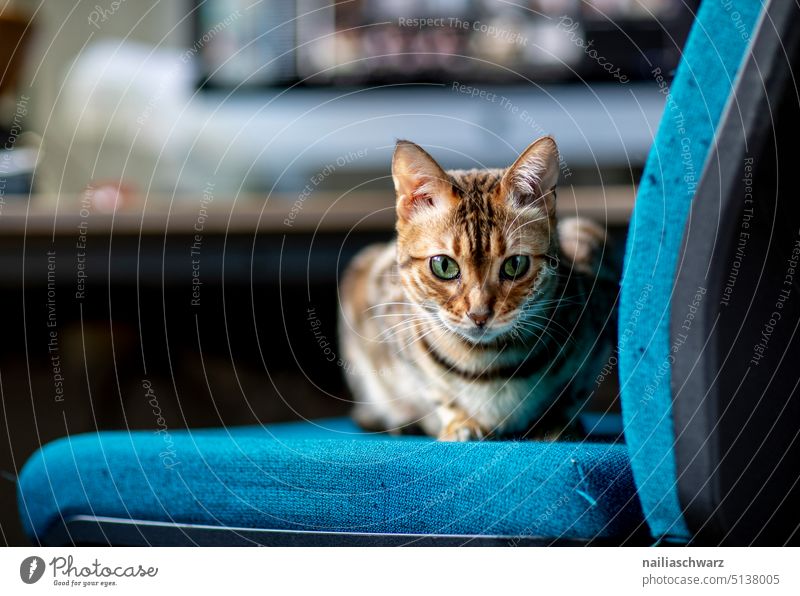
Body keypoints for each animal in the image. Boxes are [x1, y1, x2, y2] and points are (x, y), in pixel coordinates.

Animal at [338, 136, 620, 442]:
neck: (486, 363)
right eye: (443, 265)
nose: (479, 314)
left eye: (515, 264)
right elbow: (436, 390)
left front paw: (554, 422)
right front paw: (459, 422)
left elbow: (573, 392)